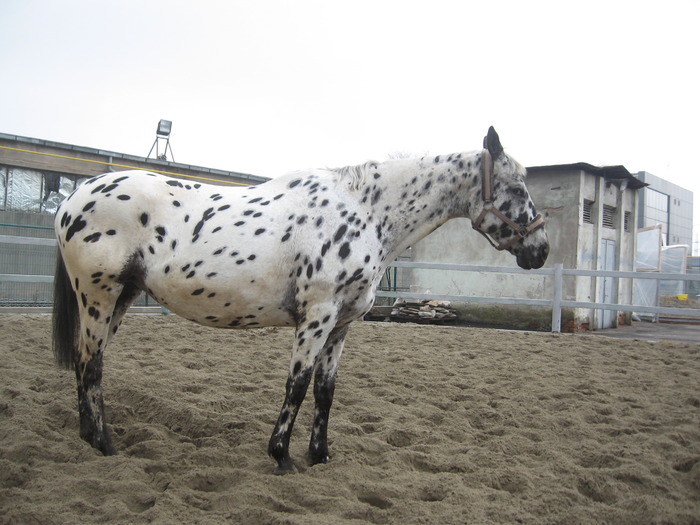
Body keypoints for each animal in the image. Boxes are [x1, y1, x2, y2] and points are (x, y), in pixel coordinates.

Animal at [53, 126, 548, 470]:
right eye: (518, 189)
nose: (540, 251)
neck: (366, 211)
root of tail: (75, 196)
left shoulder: (342, 324)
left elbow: (326, 390)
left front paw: (320, 455)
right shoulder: (318, 315)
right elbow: (298, 382)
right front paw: (282, 456)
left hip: (120, 298)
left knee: (85, 359)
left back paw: (86, 438)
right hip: (99, 296)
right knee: (92, 365)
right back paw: (104, 444)